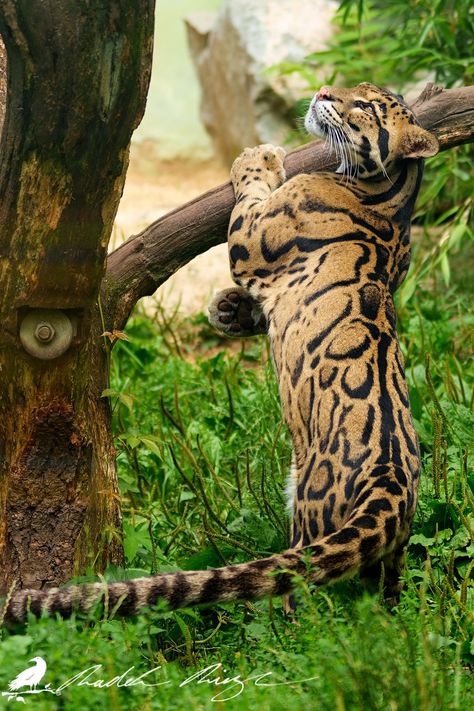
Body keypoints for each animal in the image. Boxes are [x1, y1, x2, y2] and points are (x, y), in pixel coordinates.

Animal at [1, 83, 438, 624]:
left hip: (308, 520)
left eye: (364, 106)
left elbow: (249, 195)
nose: (322, 92)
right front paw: (228, 309)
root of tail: (392, 484)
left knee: (303, 598)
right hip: (388, 564)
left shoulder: (253, 237)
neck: (392, 191)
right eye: (355, 91)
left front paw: (259, 157)